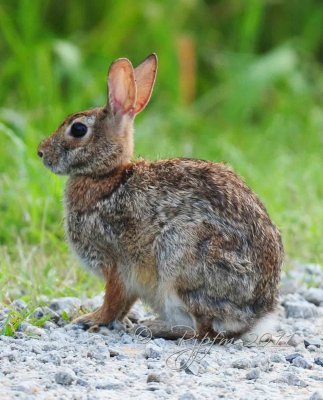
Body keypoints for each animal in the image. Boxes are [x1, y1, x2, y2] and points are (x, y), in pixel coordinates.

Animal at [38, 53, 284, 340]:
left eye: (77, 130)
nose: (41, 152)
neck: (106, 176)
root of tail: (257, 315)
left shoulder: (117, 264)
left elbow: (113, 300)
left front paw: (90, 319)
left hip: (181, 257)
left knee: (204, 331)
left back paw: (156, 328)